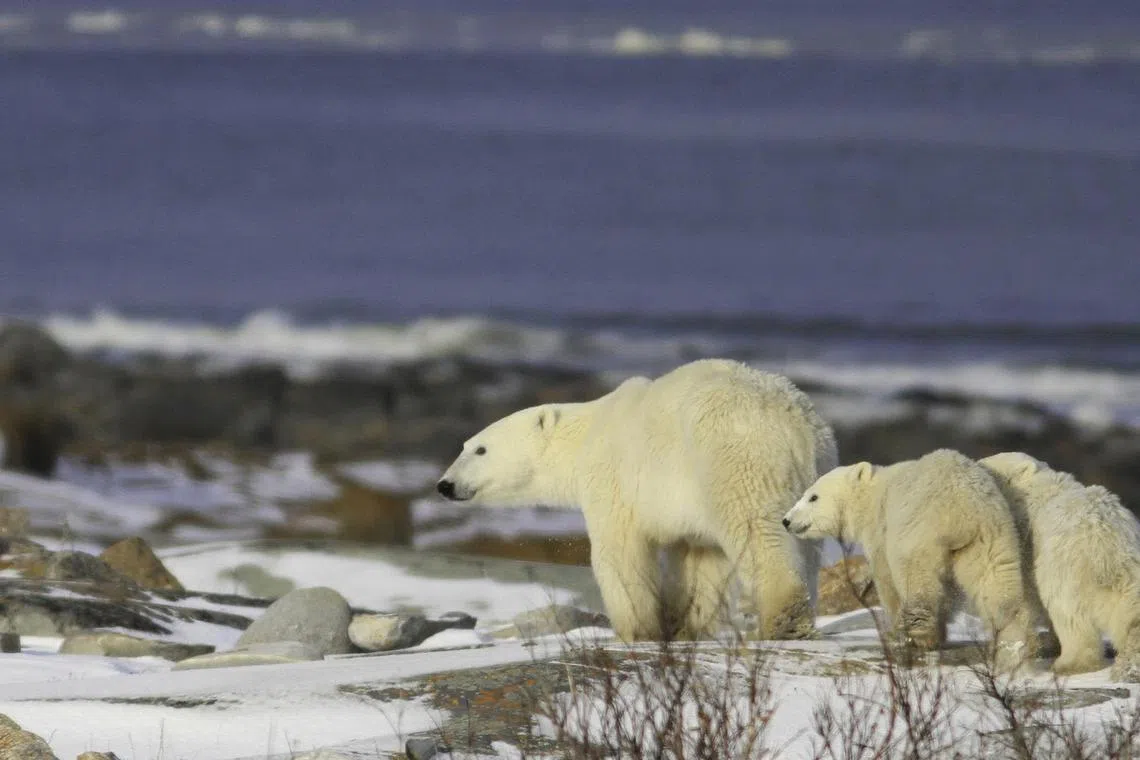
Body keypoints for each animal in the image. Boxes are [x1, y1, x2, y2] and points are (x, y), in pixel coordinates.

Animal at [435, 358, 838, 643]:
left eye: (480, 449)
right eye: (464, 446)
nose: (444, 484)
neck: (586, 433)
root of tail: (793, 422)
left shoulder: (614, 477)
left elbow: (619, 552)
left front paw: (635, 631)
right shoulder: (689, 506)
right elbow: (699, 560)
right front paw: (682, 627)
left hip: (735, 458)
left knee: (756, 531)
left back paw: (784, 620)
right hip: (812, 476)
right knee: (806, 544)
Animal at [782, 449, 1038, 667]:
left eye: (813, 497)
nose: (786, 520)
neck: (872, 494)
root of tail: (963, 506)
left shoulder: (881, 530)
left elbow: (886, 579)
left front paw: (895, 631)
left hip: (920, 532)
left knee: (917, 580)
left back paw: (919, 634)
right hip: (991, 535)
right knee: (995, 583)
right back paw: (1013, 640)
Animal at [979, 451, 1140, 680]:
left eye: (986, 467)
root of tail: (1105, 541)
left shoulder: (1026, 541)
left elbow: (1025, 597)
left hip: (1063, 568)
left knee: (1068, 614)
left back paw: (1069, 663)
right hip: (1130, 568)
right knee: (1130, 610)